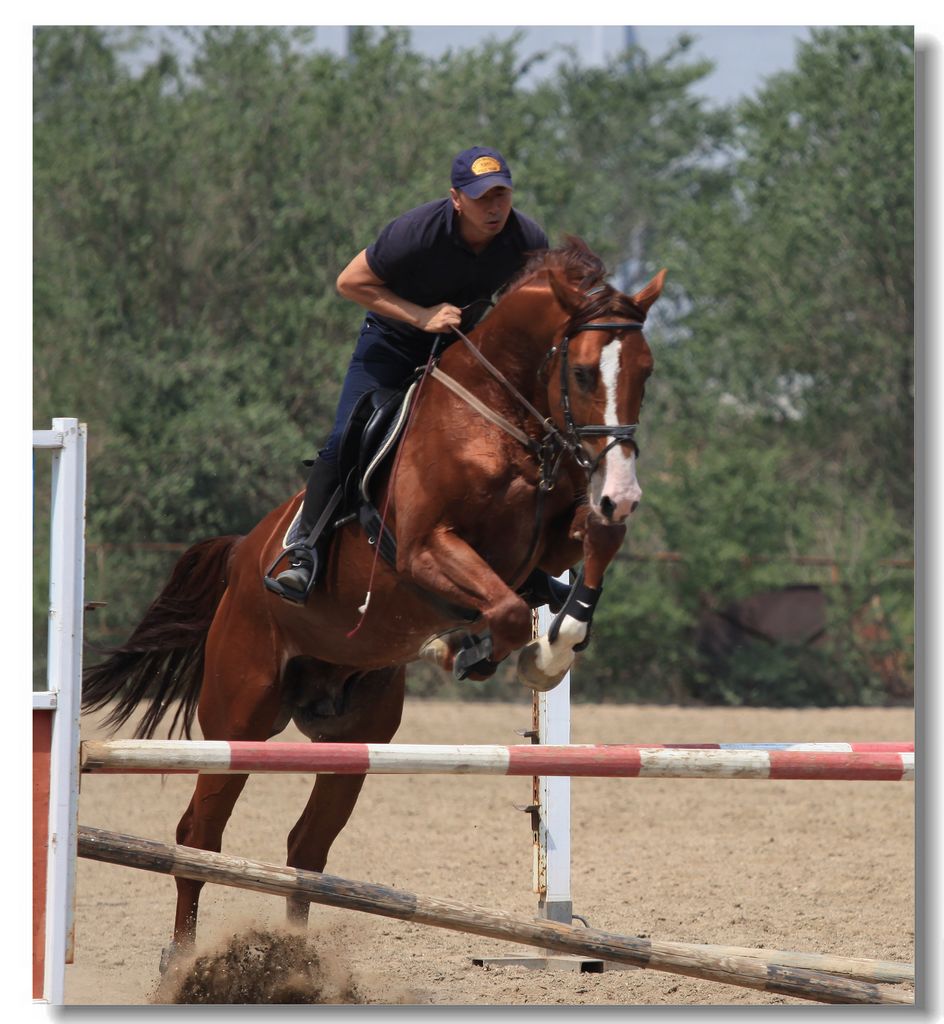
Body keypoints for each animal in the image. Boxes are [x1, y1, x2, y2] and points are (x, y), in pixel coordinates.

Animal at [80, 237, 663, 958]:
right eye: (582, 374)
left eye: (645, 372)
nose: (622, 489)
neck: (497, 420)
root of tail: (243, 557)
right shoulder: (422, 549)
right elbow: (503, 610)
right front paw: (488, 651)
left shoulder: (551, 539)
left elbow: (591, 546)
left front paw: (552, 642)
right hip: (240, 717)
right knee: (199, 837)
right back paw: (184, 962)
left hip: (356, 731)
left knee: (306, 847)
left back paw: (294, 964)